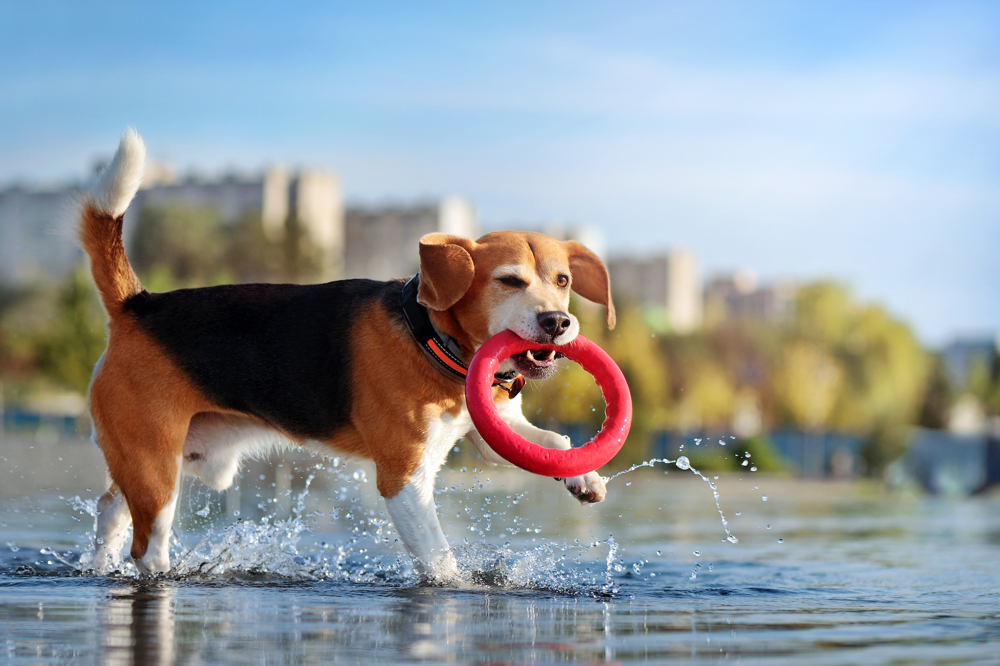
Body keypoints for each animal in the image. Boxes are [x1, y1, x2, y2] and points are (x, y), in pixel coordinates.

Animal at [86, 128, 612, 576]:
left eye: (562, 281)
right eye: (509, 281)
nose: (557, 322)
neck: (431, 341)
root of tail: (138, 305)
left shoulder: (494, 433)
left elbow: (556, 441)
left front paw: (582, 477)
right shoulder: (404, 479)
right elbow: (439, 559)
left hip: (153, 460)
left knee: (109, 509)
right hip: (155, 468)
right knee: (147, 548)